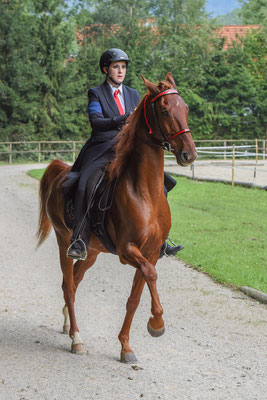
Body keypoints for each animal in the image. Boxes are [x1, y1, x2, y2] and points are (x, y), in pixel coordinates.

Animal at [37, 72, 197, 362]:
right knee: (68, 285)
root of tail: (61, 172)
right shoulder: (127, 250)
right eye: (164, 110)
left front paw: (125, 347)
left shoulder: (151, 252)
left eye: (186, 108)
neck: (144, 191)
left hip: (92, 251)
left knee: (74, 281)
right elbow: (151, 275)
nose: (189, 153)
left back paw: (67, 324)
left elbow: (134, 298)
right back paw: (76, 338)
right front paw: (157, 323)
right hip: (64, 239)